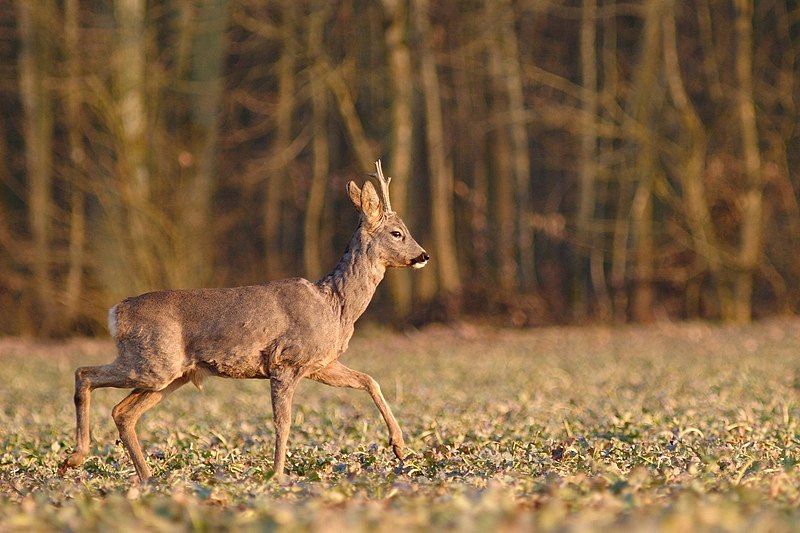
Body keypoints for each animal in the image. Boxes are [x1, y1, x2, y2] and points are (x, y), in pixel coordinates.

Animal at [58, 160, 428, 480]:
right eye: (397, 232)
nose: (423, 255)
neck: (335, 306)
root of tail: (115, 313)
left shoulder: (320, 364)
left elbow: (369, 380)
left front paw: (399, 447)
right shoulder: (285, 361)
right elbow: (283, 422)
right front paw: (277, 475)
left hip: (169, 374)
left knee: (123, 412)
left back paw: (147, 477)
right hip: (153, 363)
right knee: (84, 373)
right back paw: (75, 459)